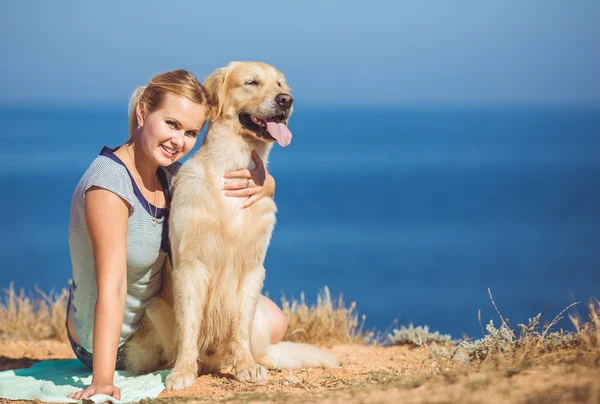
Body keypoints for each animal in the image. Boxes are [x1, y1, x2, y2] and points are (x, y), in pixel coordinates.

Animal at [122, 62, 340, 388]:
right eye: (252, 82)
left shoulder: (252, 267)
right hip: (154, 309)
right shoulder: (191, 265)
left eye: (280, 84)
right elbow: (189, 327)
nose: (286, 100)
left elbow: (241, 328)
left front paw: (246, 366)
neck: (233, 166)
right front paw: (183, 371)